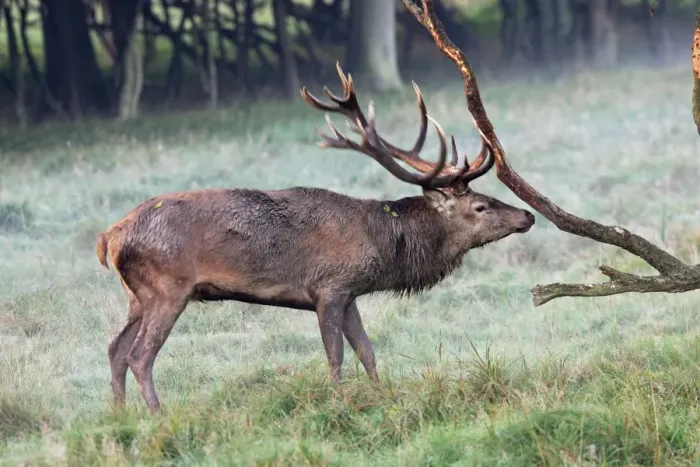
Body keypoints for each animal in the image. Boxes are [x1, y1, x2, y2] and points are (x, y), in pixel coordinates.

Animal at [96, 63, 536, 413]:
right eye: (480, 206)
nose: (528, 215)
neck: (382, 245)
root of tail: (109, 238)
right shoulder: (329, 287)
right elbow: (336, 356)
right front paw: (340, 402)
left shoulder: (352, 293)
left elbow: (367, 351)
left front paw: (383, 396)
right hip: (168, 287)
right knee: (139, 356)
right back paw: (157, 416)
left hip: (138, 295)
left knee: (115, 349)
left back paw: (121, 416)